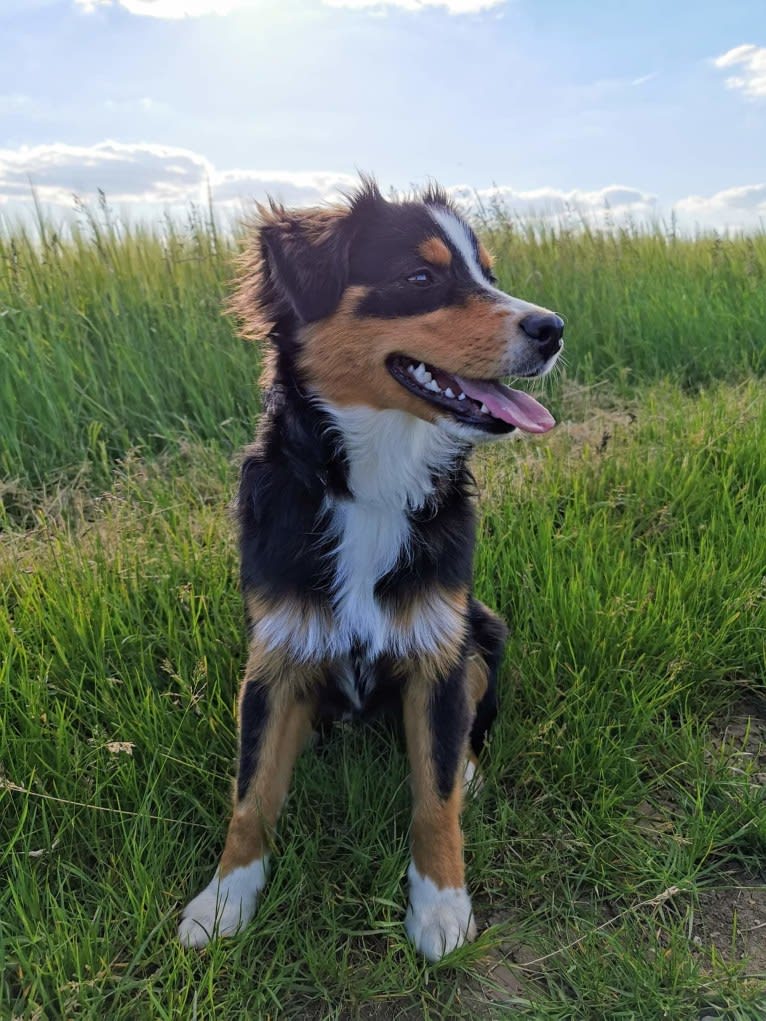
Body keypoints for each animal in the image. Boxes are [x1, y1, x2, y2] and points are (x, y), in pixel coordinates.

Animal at [179, 181, 563, 955]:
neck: (372, 483)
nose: (554, 329)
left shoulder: (438, 649)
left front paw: (441, 906)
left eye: (489, 274)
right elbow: (251, 793)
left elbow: (434, 797)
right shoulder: (276, 655)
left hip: (483, 627)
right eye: (419, 277)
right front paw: (224, 900)